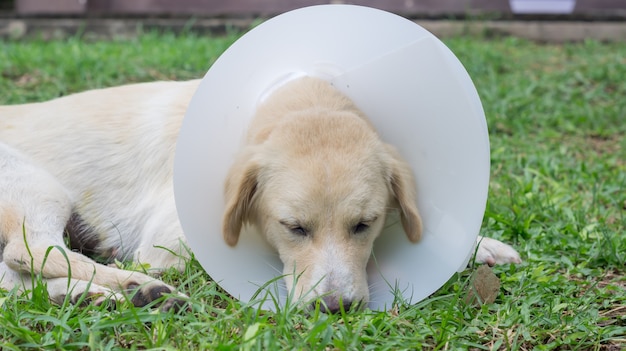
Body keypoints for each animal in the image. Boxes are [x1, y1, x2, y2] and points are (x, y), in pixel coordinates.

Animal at [0, 77, 520, 314]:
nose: (335, 309)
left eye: (363, 224)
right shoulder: (165, 244)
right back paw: (131, 286)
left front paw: (483, 246)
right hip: (40, 189)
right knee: (32, 253)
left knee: (19, 284)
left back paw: (103, 296)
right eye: (293, 228)